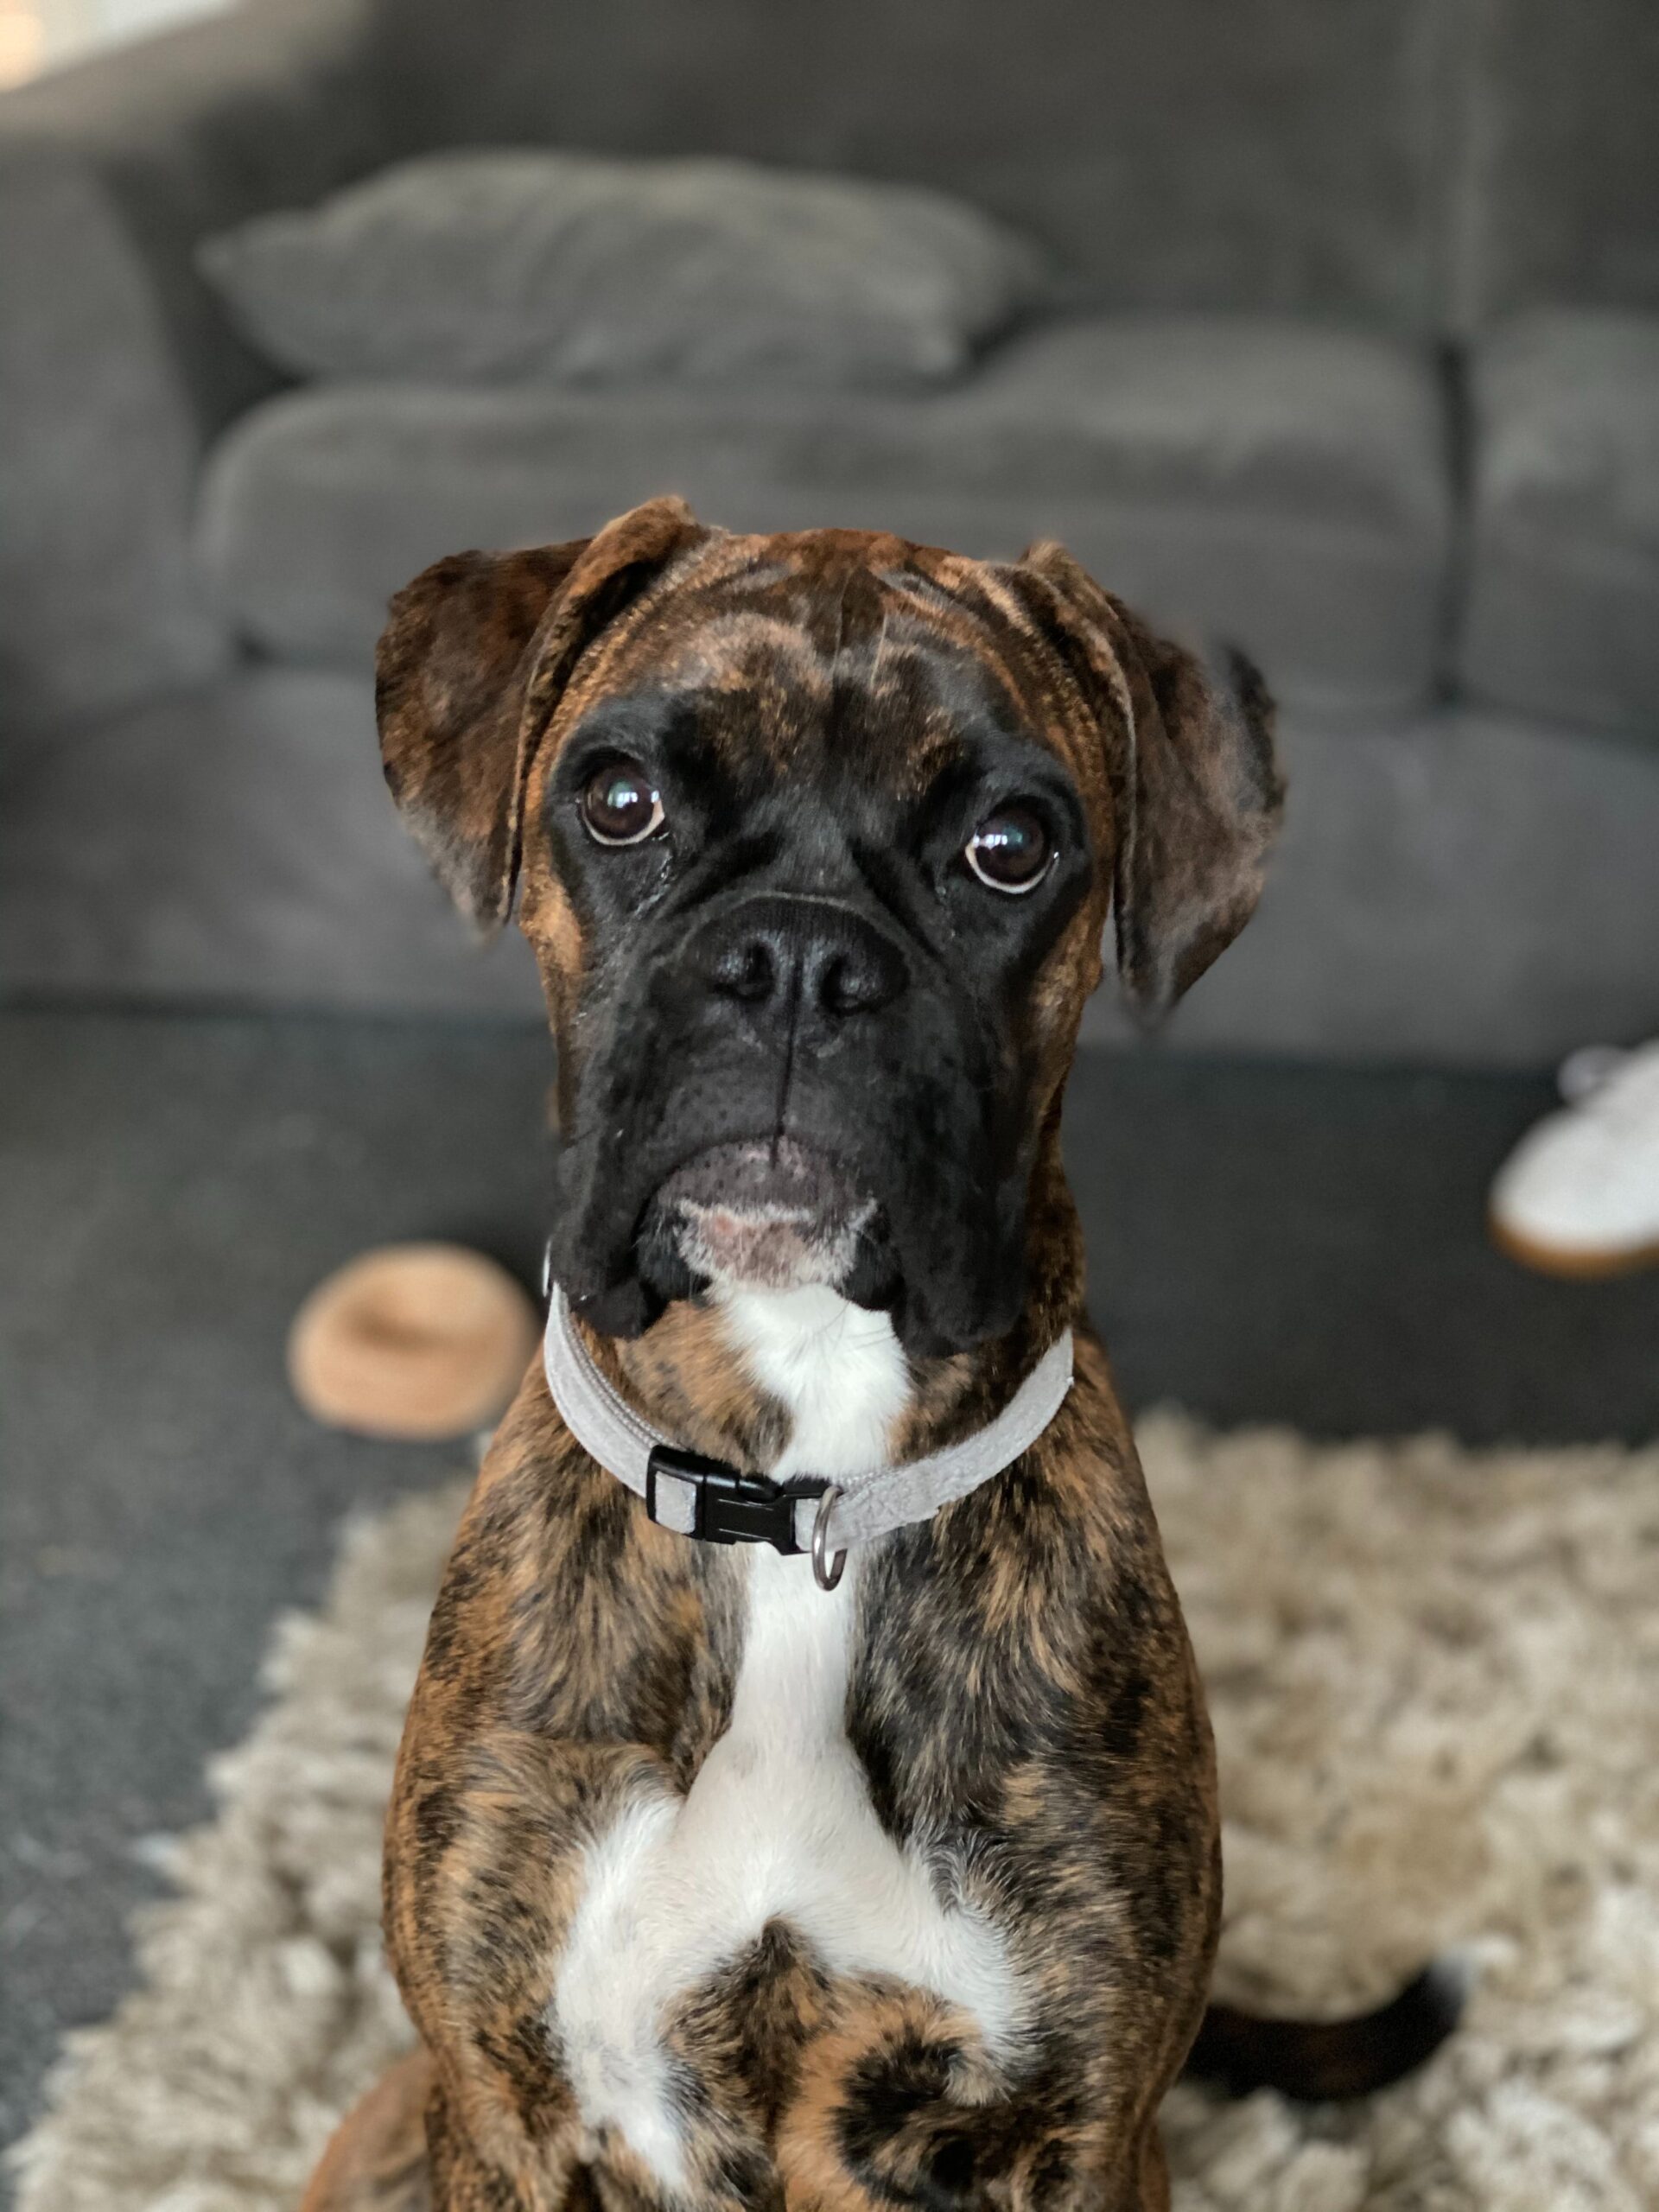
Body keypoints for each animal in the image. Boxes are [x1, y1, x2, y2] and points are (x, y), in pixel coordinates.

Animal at [305, 502, 1459, 2212]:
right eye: (621, 801)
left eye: (1011, 846)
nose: (797, 958)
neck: (798, 1500)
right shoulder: (506, 2111)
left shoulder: (1076, 2134)